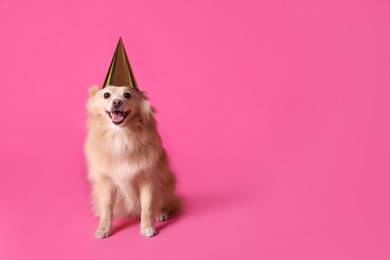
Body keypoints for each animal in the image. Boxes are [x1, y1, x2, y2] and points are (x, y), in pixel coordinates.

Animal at [84, 85, 181, 238]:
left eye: (127, 95)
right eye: (106, 95)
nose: (117, 102)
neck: (120, 135)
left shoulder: (147, 179)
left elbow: (147, 205)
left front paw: (147, 226)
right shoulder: (105, 182)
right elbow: (107, 207)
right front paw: (104, 228)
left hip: (166, 183)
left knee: (163, 201)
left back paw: (161, 213)